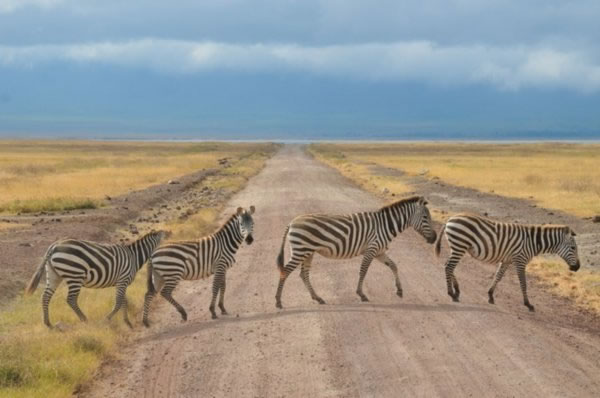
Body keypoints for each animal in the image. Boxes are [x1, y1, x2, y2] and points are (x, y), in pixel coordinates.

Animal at [24, 230, 166, 330]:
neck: (134, 257)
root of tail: (54, 246)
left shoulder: (122, 283)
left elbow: (124, 301)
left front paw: (127, 322)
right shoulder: (123, 280)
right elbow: (119, 302)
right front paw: (108, 319)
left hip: (54, 275)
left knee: (45, 296)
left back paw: (48, 323)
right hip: (75, 274)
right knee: (71, 299)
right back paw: (84, 319)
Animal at [276, 196, 436, 308]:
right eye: (425, 217)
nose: (434, 238)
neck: (386, 225)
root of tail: (291, 222)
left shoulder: (379, 252)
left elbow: (394, 266)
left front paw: (399, 290)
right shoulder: (371, 249)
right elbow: (363, 271)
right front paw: (361, 294)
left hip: (308, 252)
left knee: (303, 274)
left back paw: (318, 298)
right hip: (300, 250)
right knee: (285, 271)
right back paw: (278, 301)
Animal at [434, 215, 580, 310]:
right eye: (573, 248)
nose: (578, 267)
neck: (533, 241)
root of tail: (449, 219)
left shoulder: (507, 260)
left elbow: (498, 276)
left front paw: (490, 296)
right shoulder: (520, 261)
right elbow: (523, 283)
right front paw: (528, 304)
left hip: (457, 247)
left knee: (448, 265)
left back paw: (457, 290)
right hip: (460, 245)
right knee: (449, 267)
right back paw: (452, 293)